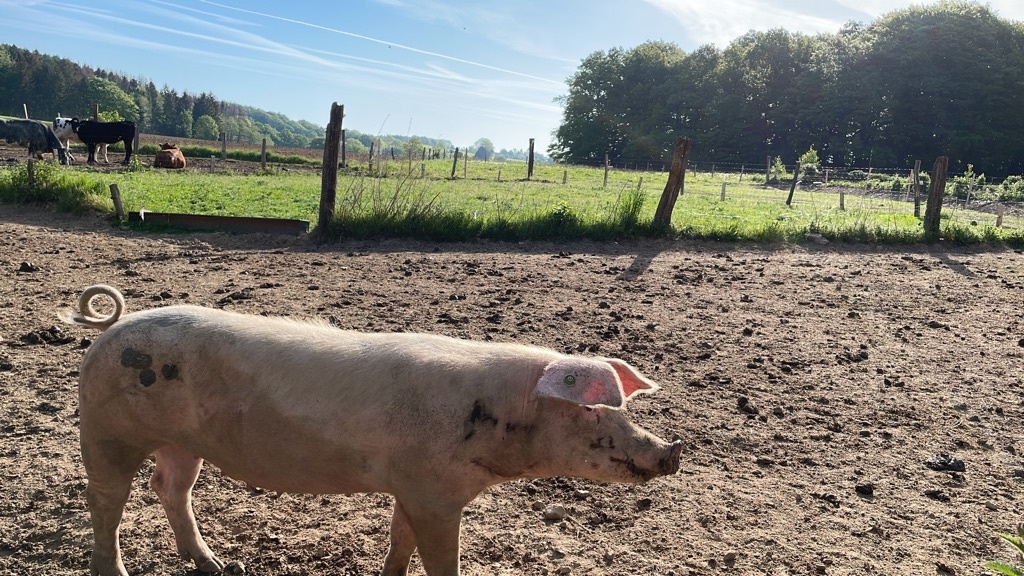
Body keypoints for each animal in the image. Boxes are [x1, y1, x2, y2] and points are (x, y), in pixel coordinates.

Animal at [58, 282, 679, 573]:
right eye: (592, 408)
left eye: (622, 407)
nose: (672, 451)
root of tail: (109, 328)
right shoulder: (434, 493)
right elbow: (441, 559)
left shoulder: (410, 487)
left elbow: (400, 539)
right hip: (107, 430)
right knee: (106, 499)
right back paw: (117, 571)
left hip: (182, 443)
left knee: (170, 488)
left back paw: (216, 566)